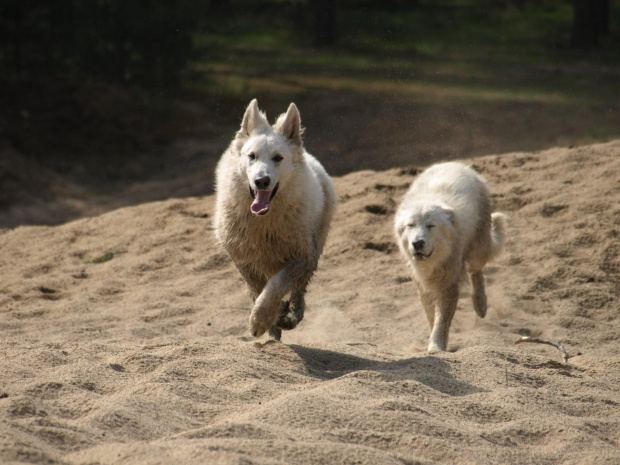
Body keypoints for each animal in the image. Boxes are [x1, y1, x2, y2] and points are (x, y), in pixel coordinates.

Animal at [214, 99, 340, 338]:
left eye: (278, 158)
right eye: (251, 156)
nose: (261, 181)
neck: (264, 221)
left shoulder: (302, 256)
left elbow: (276, 285)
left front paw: (261, 319)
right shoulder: (243, 260)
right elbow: (258, 288)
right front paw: (270, 320)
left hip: (315, 248)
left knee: (299, 290)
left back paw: (292, 315)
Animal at [394, 161, 506, 350]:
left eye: (431, 225)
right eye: (411, 225)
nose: (417, 243)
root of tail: (455, 164)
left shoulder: (449, 284)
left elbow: (442, 319)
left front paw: (436, 347)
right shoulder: (424, 285)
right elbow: (432, 316)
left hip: (477, 250)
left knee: (476, 271)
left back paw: (480, 304)